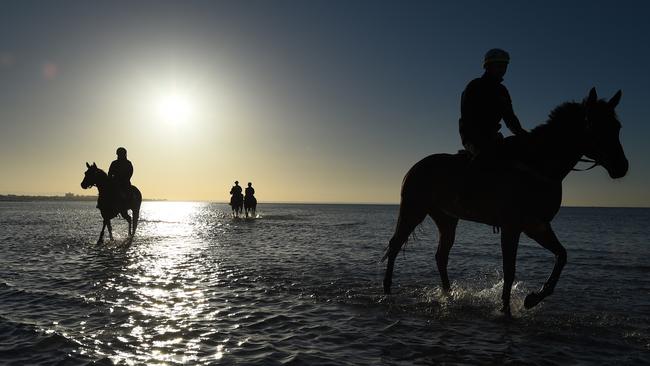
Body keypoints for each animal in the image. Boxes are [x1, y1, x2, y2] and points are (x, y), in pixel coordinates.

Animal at [382, 88, 624, 314]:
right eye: (594, 124)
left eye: (617, 126)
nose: (621, 166)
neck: (537, 164)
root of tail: (415, 167)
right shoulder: (512, 227)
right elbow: (510, 270)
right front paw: (506, 309)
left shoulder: (537, 226)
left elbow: (561, 256)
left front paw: (533, 298)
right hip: (413, 210)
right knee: (395, 245)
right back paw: (387, 290)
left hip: (447, 219)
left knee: (441, 256)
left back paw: (448, 295)